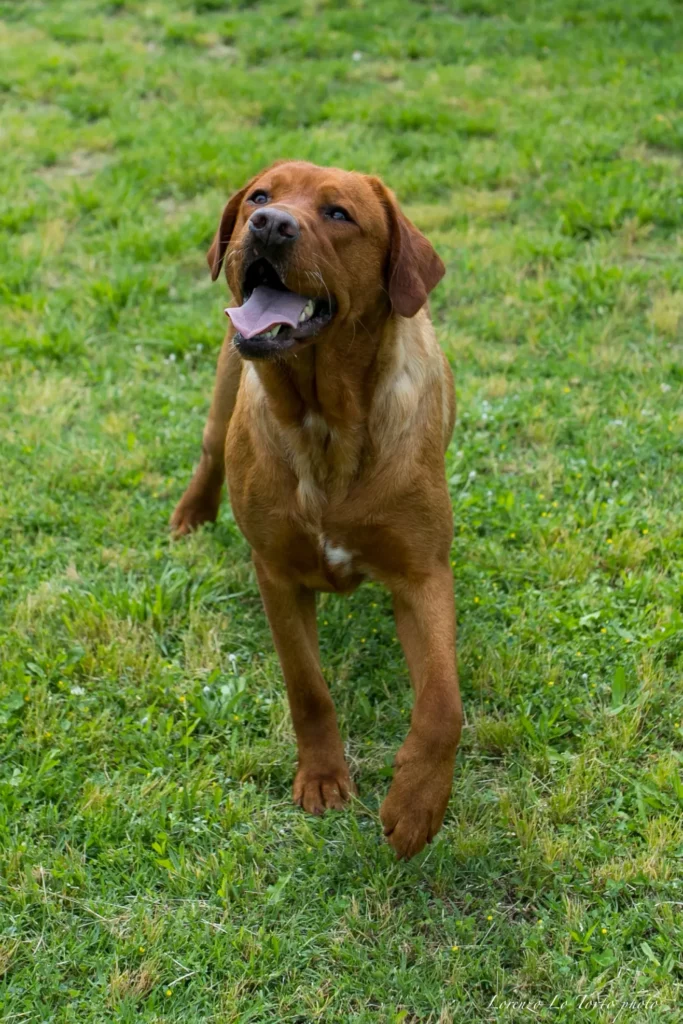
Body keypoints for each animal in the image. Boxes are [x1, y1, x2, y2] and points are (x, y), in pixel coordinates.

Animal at [171, 159, 462, 860]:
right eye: (260, 196)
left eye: (338, 214)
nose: (268, 224)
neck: (325, 423)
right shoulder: (276, 572)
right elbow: (307, 688)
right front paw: (325, 778)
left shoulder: (423, 574)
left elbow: (444, 705)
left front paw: (416, 804)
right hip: (223, 388)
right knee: (209, 451)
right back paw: (190, 516)